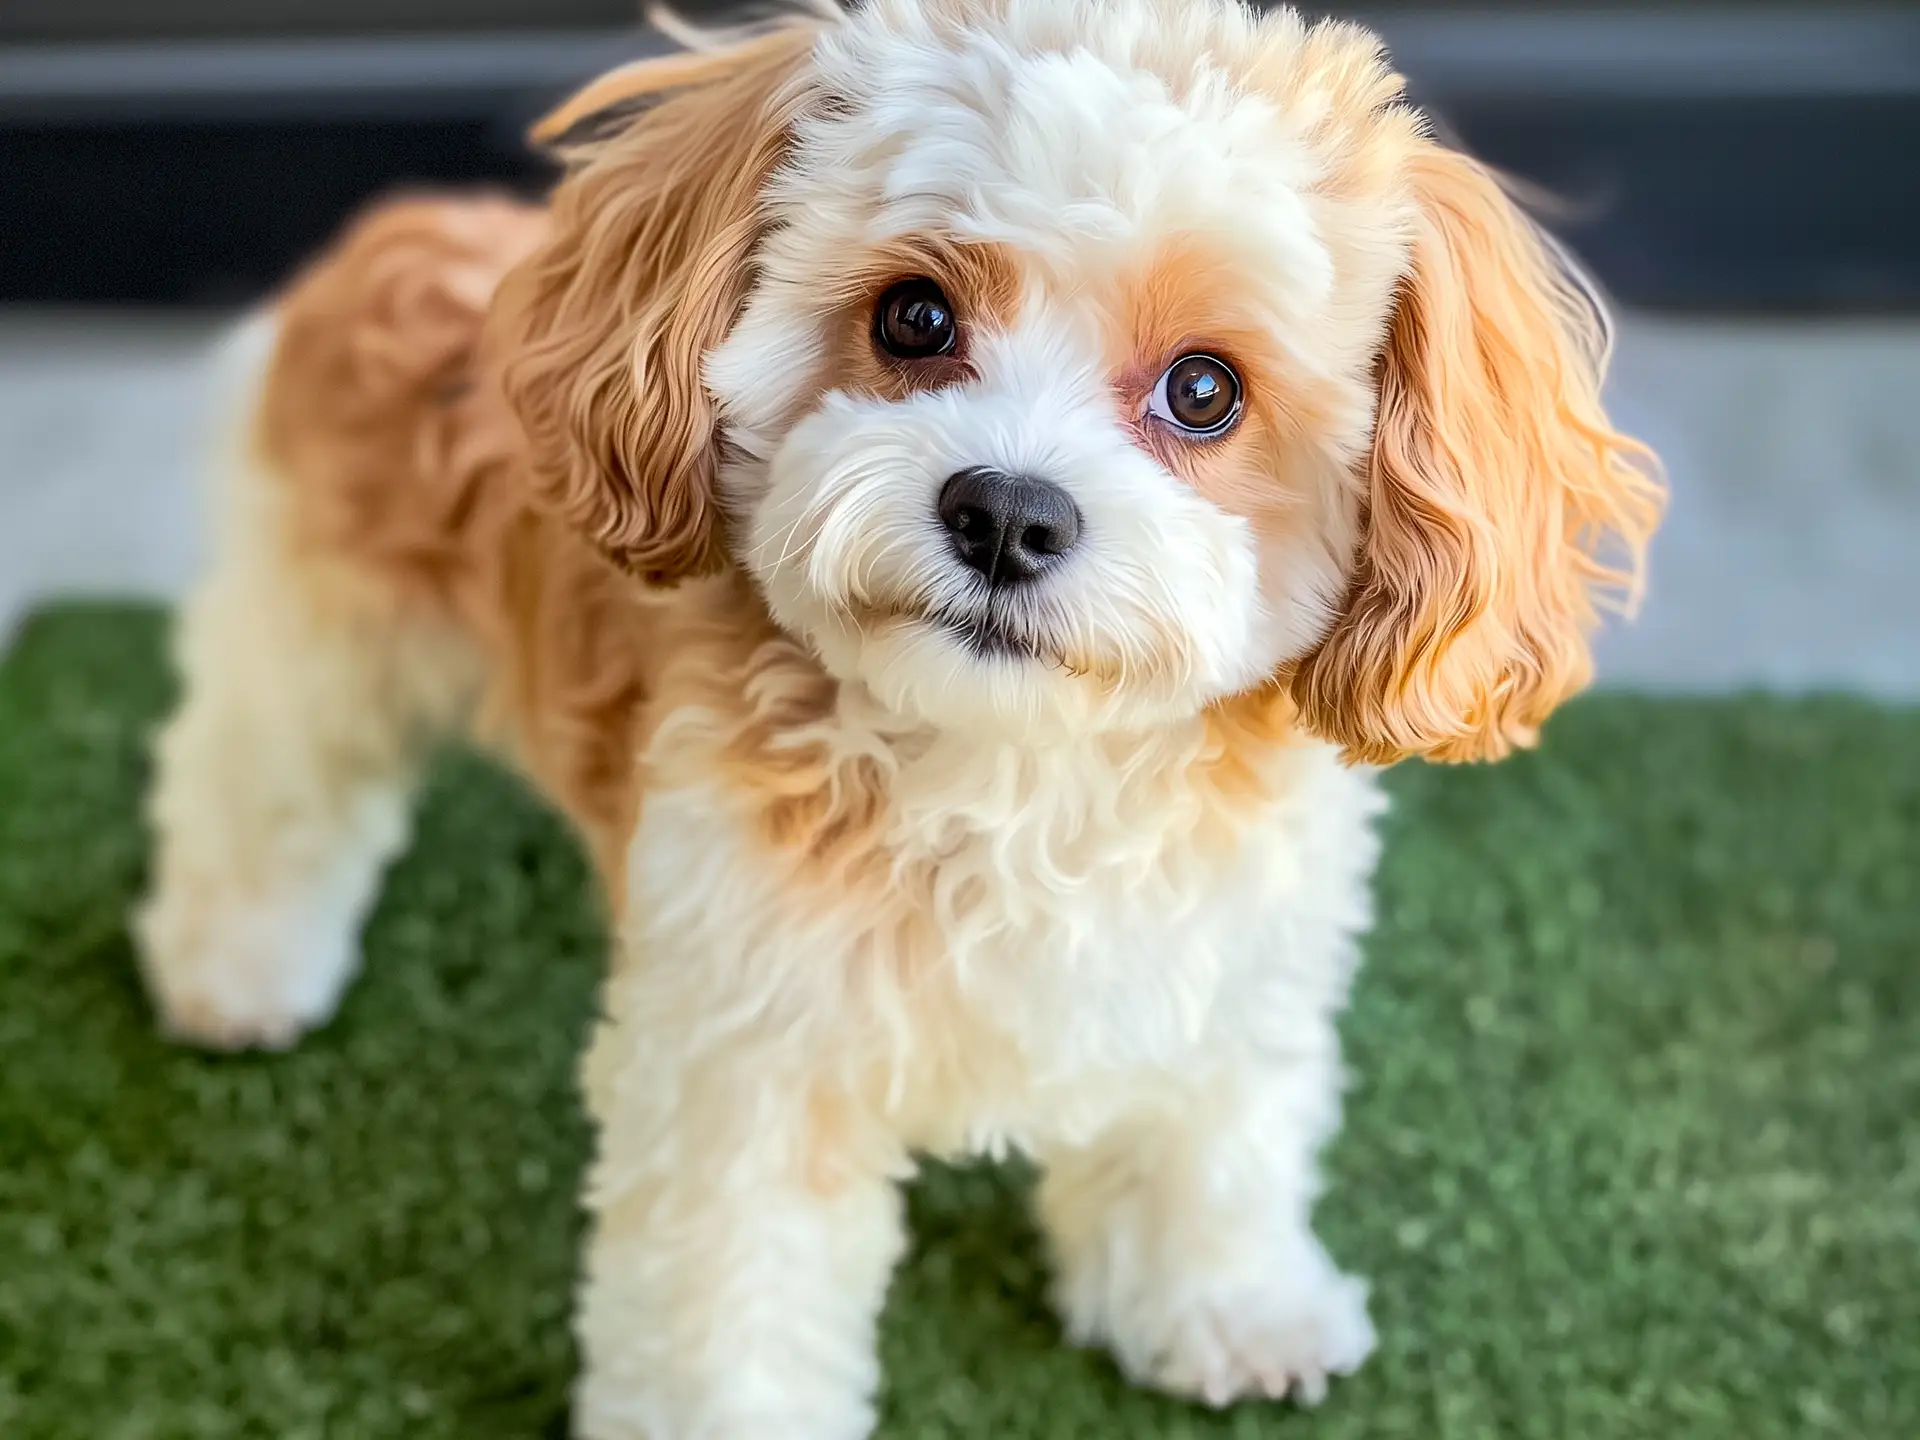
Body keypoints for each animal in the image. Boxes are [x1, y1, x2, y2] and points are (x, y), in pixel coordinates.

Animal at [139, 2, 1666, 1436]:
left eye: (1205, 389)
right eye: (916, 317)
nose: (1007, 514)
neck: (1022, 781)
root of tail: (401, 226)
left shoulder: (1223, 985)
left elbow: (1211, 1154)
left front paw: (1225, 1309)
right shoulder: (748, 1073)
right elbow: (727, 1311)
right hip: (317, 641)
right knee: (254, 789)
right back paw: (234, 973)